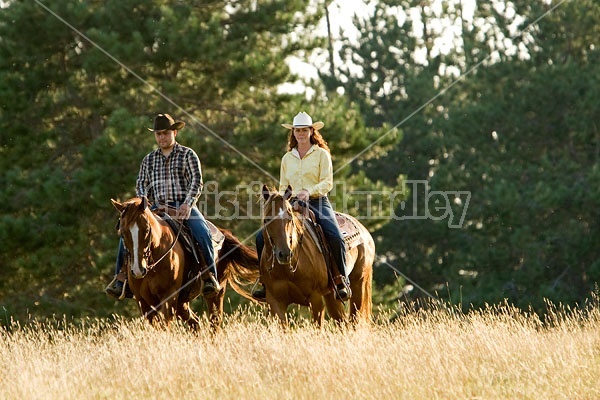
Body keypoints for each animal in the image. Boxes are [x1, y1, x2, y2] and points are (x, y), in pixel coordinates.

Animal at [111, 198, 258, 332]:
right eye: (123, 232)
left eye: (147, 229)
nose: (137, 270)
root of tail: (222, 233)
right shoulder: (143, 302)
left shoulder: (169, 298)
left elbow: (165, 327)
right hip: (181, 302)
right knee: (195, 323)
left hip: (216, 292)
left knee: (214, 322)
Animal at [258, 186, 372, 326]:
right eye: (267, 220)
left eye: (290, 217)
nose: (284, 254)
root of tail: (364, 230)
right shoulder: (275, 302)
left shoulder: (315, 299)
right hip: (331, 295)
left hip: (359, 283)